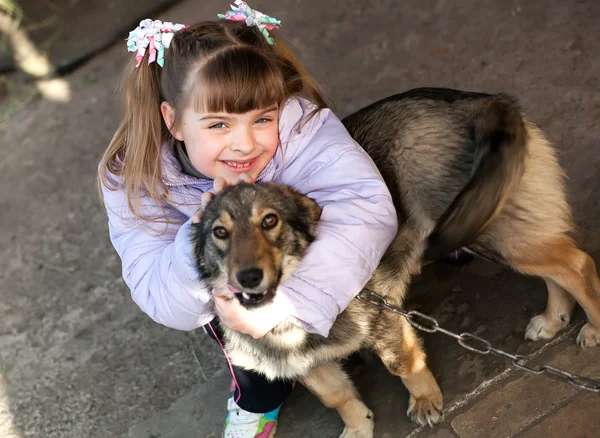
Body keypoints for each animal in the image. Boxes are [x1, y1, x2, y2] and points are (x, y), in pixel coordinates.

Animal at [193, 181, 446, 434]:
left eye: (270, 220)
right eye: (220, 232)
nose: (248, 277)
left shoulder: (382, 315)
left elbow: (403, 365)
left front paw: (424, 398)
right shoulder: (303, 361)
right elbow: (335, 396)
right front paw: (358, 426)